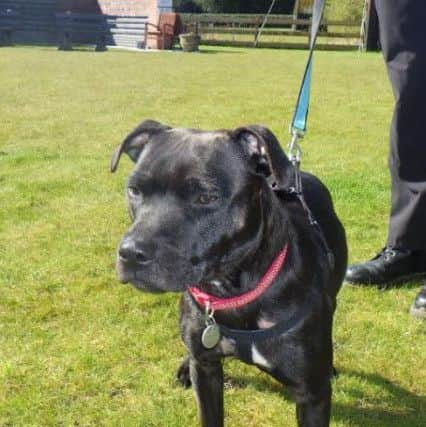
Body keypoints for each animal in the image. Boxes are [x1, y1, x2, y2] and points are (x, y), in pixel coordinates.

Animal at [111, 120, 348, 427]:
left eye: (206, 197)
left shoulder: (312, 395)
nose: (130, 253)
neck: (232, 291)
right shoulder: (206, 370)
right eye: (135, 190)